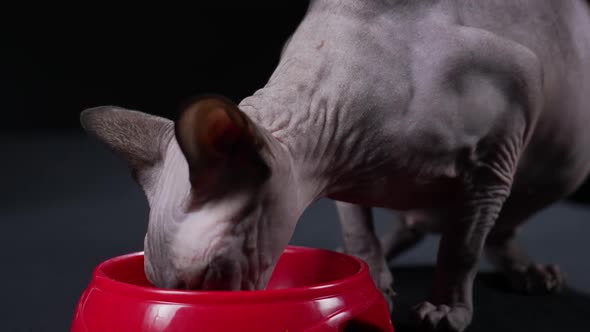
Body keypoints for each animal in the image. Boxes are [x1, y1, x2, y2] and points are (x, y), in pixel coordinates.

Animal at [80, 1, 590, 330]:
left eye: (207, 278)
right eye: (158, 284)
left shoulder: (504, 136)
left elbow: (462, 248)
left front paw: (447, 309)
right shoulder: (343, 168)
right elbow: (359, 233)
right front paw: (375, 281)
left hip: (565, 160)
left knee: (489, 224)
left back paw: (529, 272)